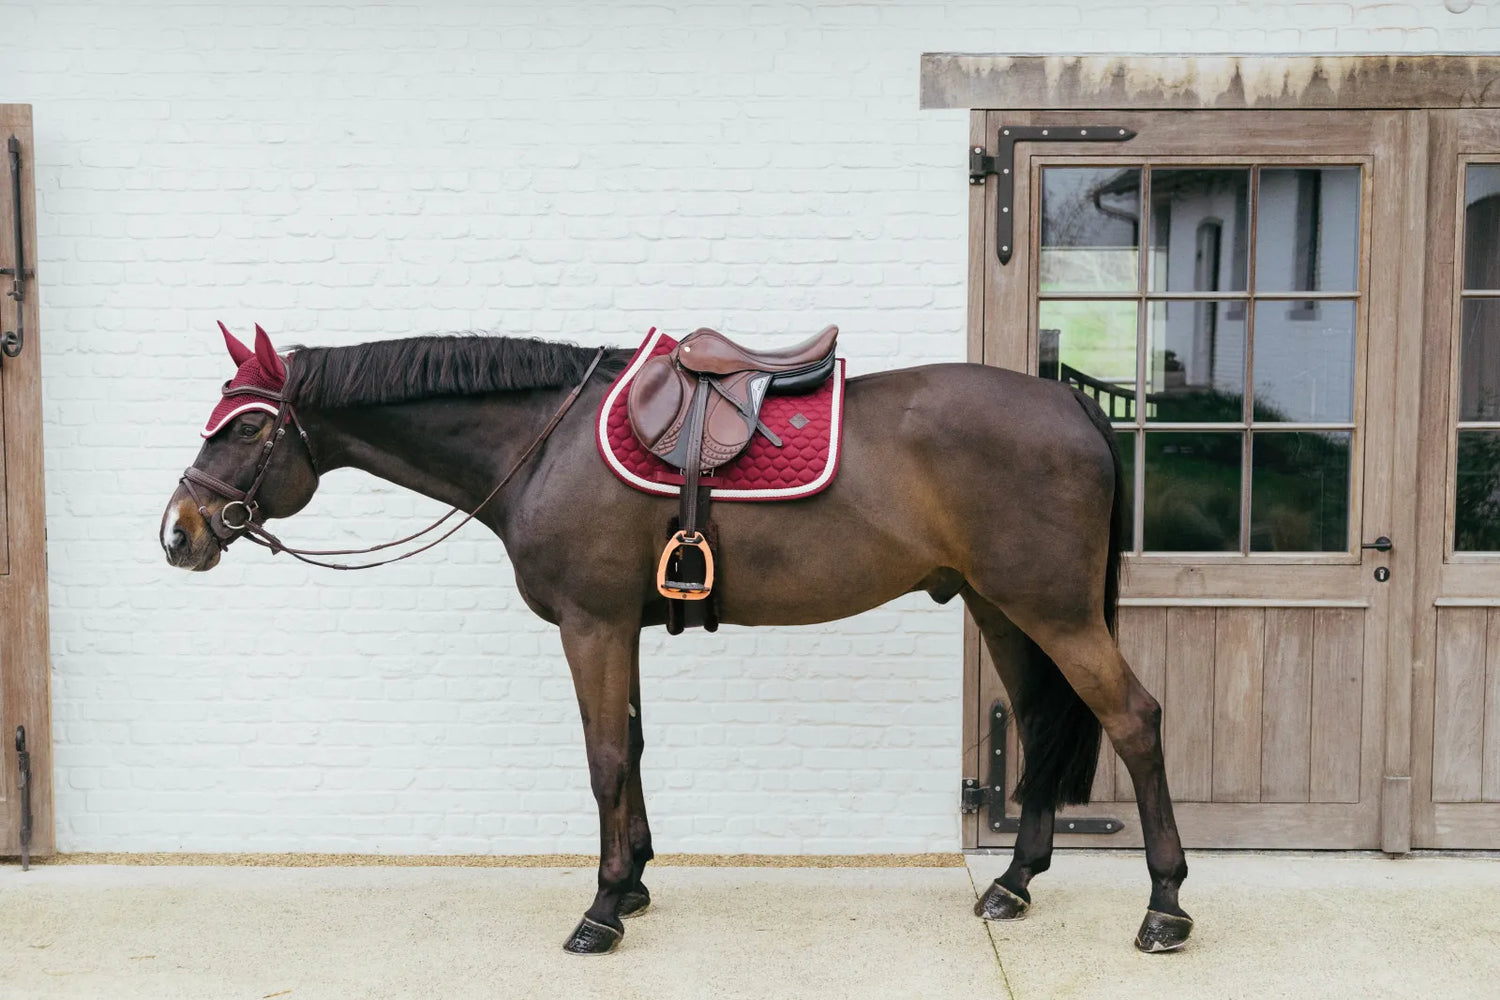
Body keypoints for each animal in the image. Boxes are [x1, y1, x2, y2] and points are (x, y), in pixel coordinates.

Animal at [161, 326, 1194, 953]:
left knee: (1137, 720)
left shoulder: (592, 623)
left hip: (1052, 609)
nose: (179, 532)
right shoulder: (621, 625)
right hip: (1001, 605)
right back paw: (1014, 883)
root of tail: (1069, 404)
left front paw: (601, 908)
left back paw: (1165, 906)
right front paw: (635, 885)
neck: (545, 443)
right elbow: (635, 745)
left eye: (245, 427)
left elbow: (604, 757)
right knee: (1042, 721)